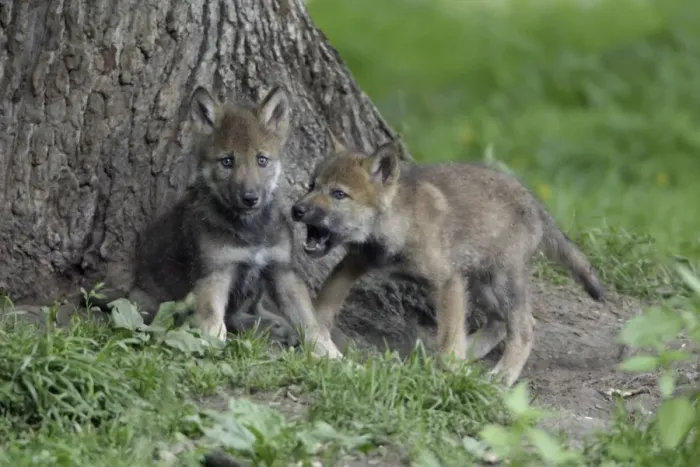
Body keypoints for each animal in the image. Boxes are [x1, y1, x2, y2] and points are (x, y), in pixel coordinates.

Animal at [88, 85, 341, 358]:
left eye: (261, 160)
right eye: (227, 161)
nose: (250, 198)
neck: (250, 230)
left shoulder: (282, 271)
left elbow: (309, 320)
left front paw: (329, 352)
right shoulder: (214, 273)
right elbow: (212, 317)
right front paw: (211, 345)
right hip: (149, 302)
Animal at [290, 136, 605, 386]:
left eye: (339, 194)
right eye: (312, 185)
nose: (296, 210)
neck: (400, 223)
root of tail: (535, 203)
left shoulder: (447, 281)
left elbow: (449, 337)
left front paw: (450, 371)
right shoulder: (355, 262)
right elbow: (325, 300)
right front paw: (313, 330)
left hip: (500, 280)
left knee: (525, 326)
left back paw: (502, 374)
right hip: (478, 282)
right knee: (499, 321)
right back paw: (472, 352)